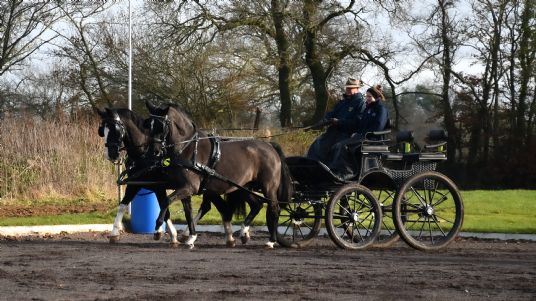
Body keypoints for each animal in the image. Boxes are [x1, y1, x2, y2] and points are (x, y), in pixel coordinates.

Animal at [96, 108, 199, 246]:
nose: (111, 155)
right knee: (190, 207)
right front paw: (114, 234)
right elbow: (122, 205)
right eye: (103, 130)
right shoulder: (134, 184)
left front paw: (169, 234)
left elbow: (164, 208)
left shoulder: (159, 186)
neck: (144, 154)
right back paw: (188, 234)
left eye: (115, 129)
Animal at [144, 102, 292, 247]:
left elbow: (166, 201)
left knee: (274, 208)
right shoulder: (184, 188)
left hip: (268, 187)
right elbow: (188, 213)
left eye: (161, 126)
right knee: (257, 205)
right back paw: (244, 232)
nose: (154, 152)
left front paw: (157, 229)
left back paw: (271, 241)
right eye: (148, 125)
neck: (189, 148)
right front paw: (191, 237)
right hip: (243, 187)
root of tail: (269, 146)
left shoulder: (190, 187)